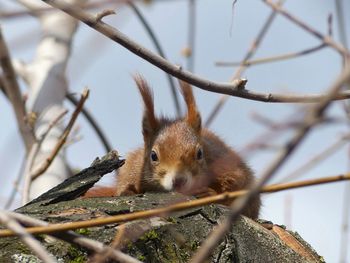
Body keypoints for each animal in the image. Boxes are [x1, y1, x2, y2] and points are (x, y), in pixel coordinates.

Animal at [85, 75, 260, 220]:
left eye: (200, 153)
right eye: (153, 155)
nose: (179, 181)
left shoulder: (226, 165)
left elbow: (240, 190)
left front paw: (209, 193)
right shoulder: (135, 166)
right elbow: (125, 180)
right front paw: (127, 191)